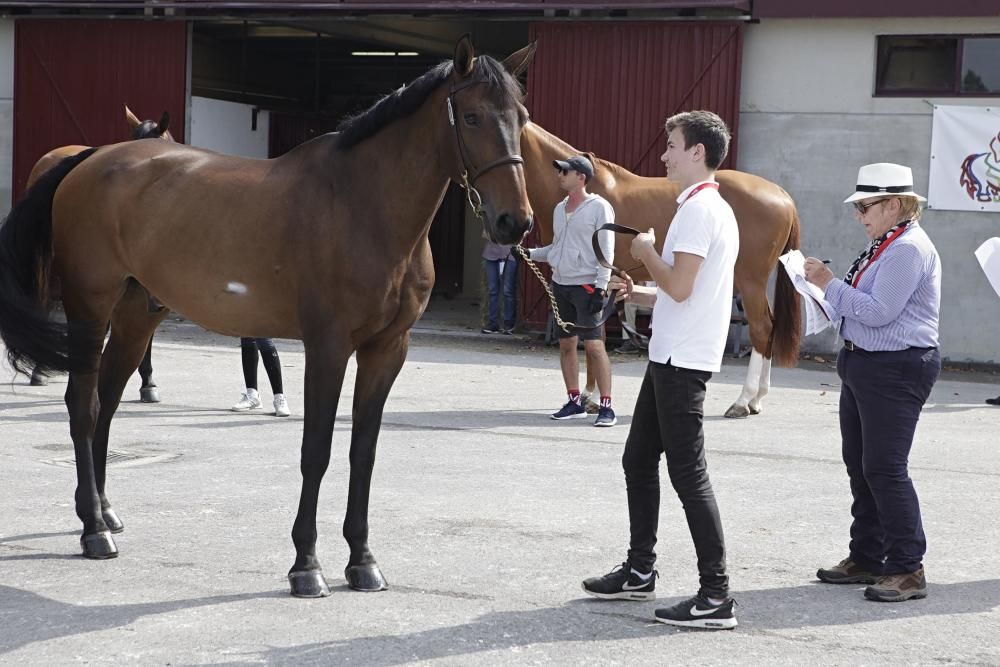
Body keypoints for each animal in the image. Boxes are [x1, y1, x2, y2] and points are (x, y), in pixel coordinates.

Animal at [520, 121, 800, 418]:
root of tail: (782, 195)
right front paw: (587, 395)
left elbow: (595, 337)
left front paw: (593, 398)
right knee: (771, 326)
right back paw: (757, 399)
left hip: (750, 281)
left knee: (761, 328)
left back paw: (743, 401)